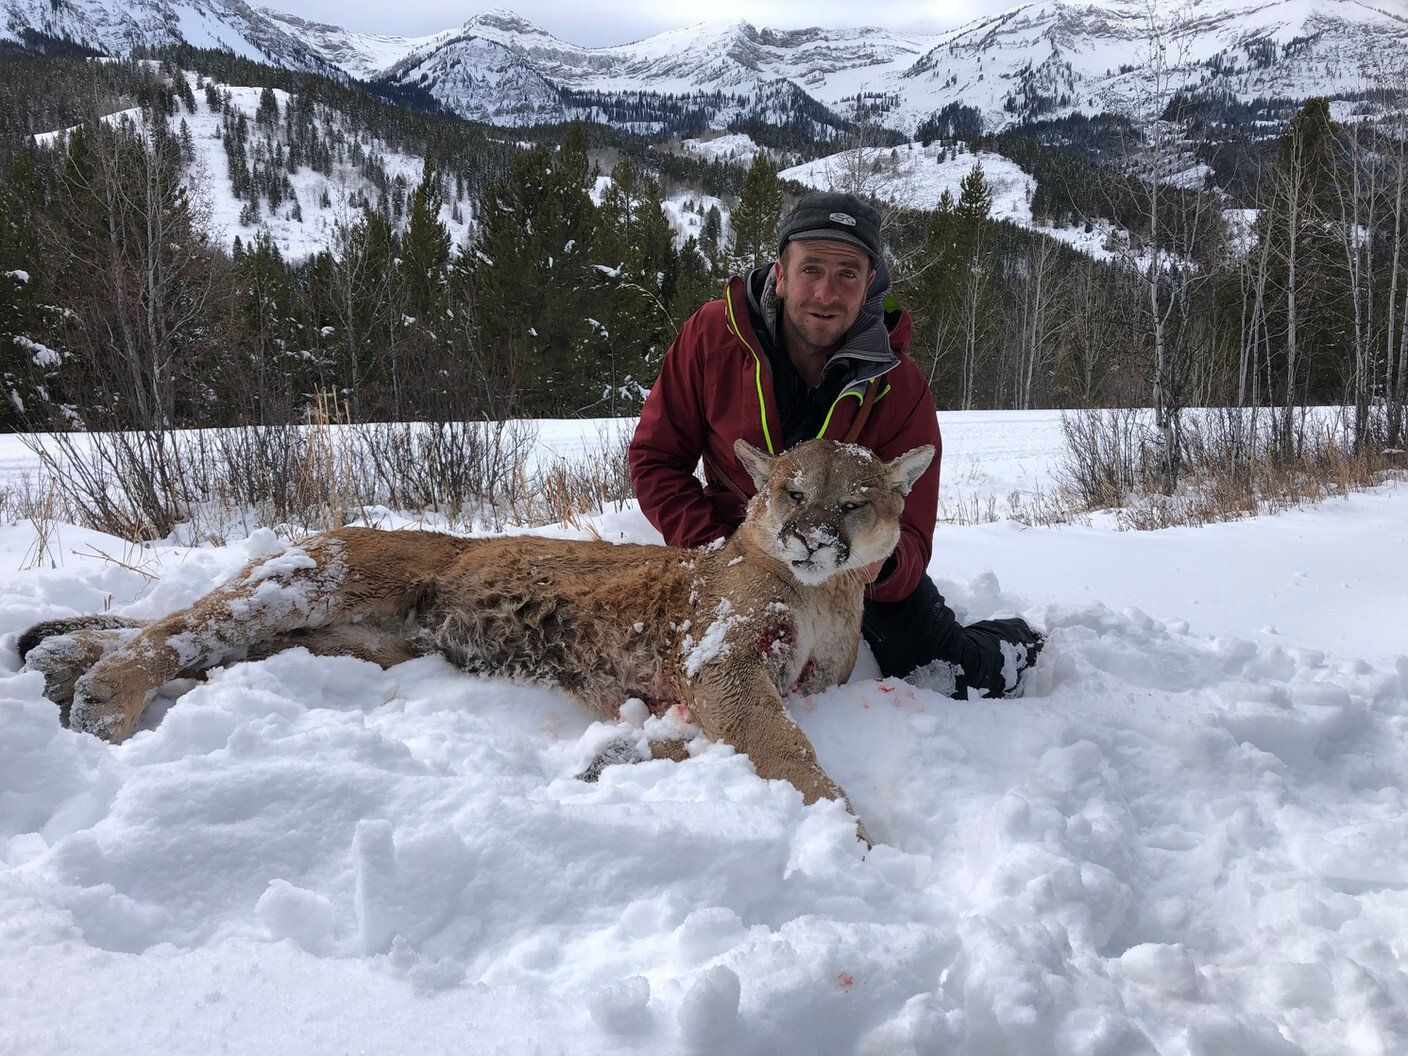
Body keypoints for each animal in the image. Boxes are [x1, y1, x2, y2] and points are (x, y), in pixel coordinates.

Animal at [19, 438, 933, 843]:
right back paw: (100, 694)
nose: (814, 538)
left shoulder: (741, 680)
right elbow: (783, 746)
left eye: (853, 500)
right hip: (308, 584)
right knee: (181, 627)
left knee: (206, 651)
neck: (824, 598)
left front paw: (615, 759)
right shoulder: (720, 660)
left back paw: (59, 665)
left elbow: (714, 734)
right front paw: (846, 831)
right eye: (792, 492)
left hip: (337, 642)